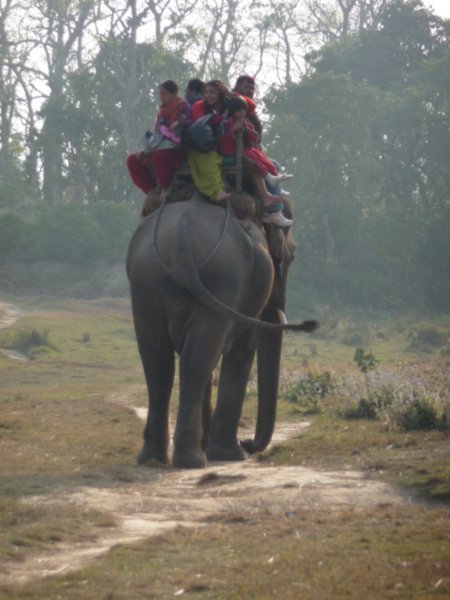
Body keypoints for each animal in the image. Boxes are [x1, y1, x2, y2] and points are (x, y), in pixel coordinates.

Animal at [125, 192, 318, 468]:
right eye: (290, 258)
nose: (248, 443)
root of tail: (180, 239)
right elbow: (242, 349)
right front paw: (229, 454)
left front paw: (216, 447)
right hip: (223, 277)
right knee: (198, 358)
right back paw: (193, 459)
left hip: (144, 281)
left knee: (161, 360)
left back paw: (154, 458)